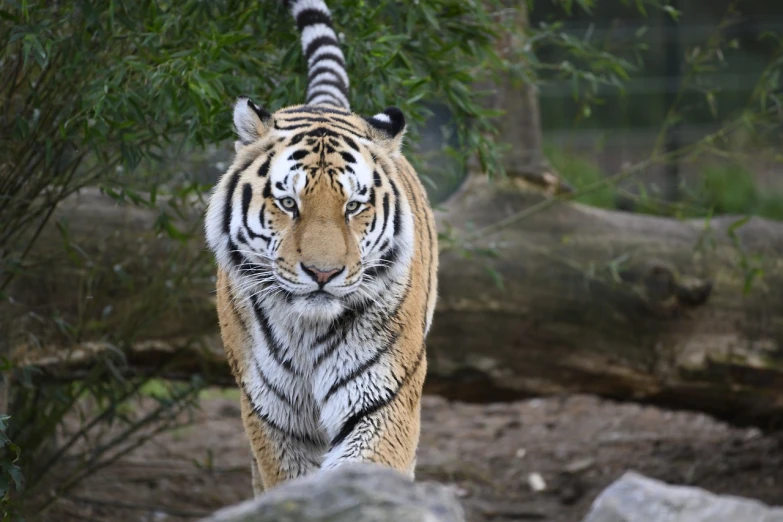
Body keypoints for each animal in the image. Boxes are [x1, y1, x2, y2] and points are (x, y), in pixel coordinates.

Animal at [205, 0, 438, 492]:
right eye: (288, 203)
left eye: (353, 206)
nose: (323, 274)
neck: (308, 333)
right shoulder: (274, 418)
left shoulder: (382, 398)